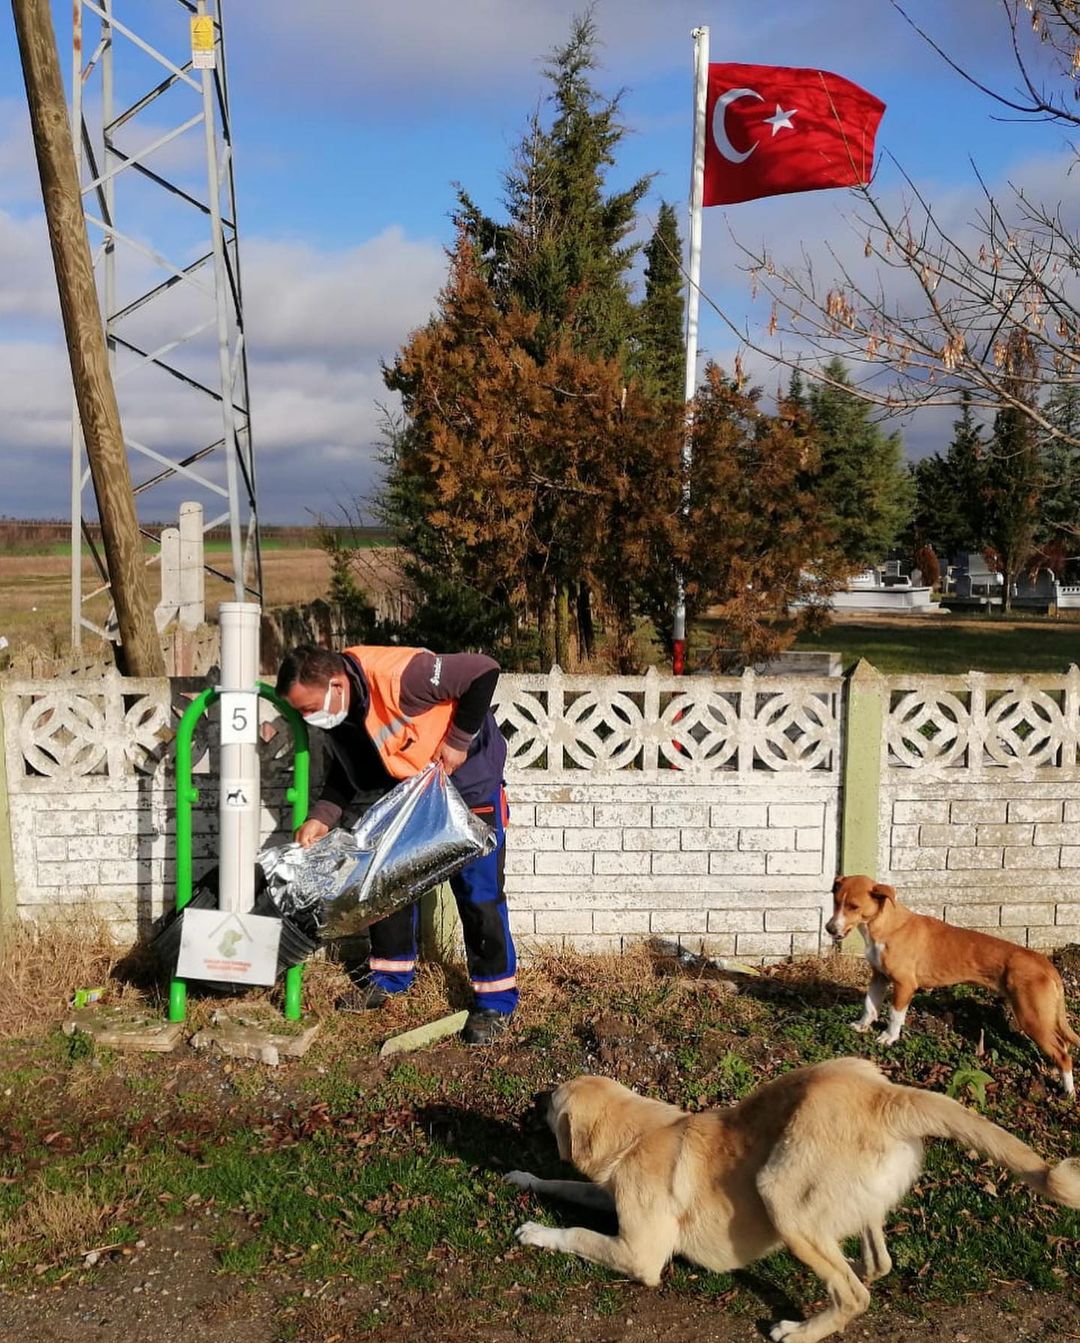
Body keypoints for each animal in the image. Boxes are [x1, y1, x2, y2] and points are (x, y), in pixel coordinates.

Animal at [510, 1058, 1080, 1343]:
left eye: (552, 1100)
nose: (532, 1097)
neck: (638, 1134)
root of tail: (886, 1095)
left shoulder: (639, 1255)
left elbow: (577, 1232)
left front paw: (536, 1232)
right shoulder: (607, 1197)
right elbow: (564, 1184)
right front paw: (522, 1176)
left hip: (781, 1195)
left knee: (854, 1294)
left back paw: (801, 1330)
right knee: (875, 1263)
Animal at [827, 875, 1069, 1095]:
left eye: (854, 906)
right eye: (836, 902)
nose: (829, 928)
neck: (886, 926)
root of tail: (1045, 963)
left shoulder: (904, 985)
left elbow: (895, 1015)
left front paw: (889, 1037)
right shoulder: (879, 977)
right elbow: (869, 1005)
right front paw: (862, 1025)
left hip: (1032, 1017)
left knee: (1063, 1054)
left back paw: (1068, 1091)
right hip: (1043, 1018)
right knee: (1062, 1044)